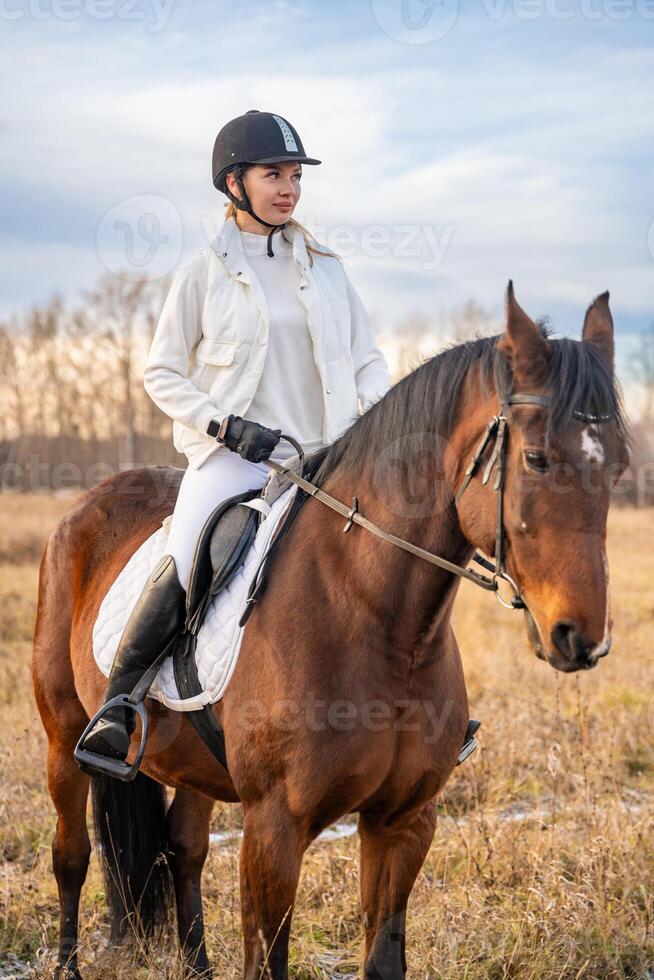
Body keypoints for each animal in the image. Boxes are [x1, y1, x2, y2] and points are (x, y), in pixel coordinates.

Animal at [30, 286, 632, 980]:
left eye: (619, 467)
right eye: (535, 458)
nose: (583, 638)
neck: (379, 625)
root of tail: (90, 500)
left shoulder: (403, 822)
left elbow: (384, 957)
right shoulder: (275, 829)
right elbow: (268, 961)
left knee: (184, 851)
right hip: (63, 735)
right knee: (71, 856)